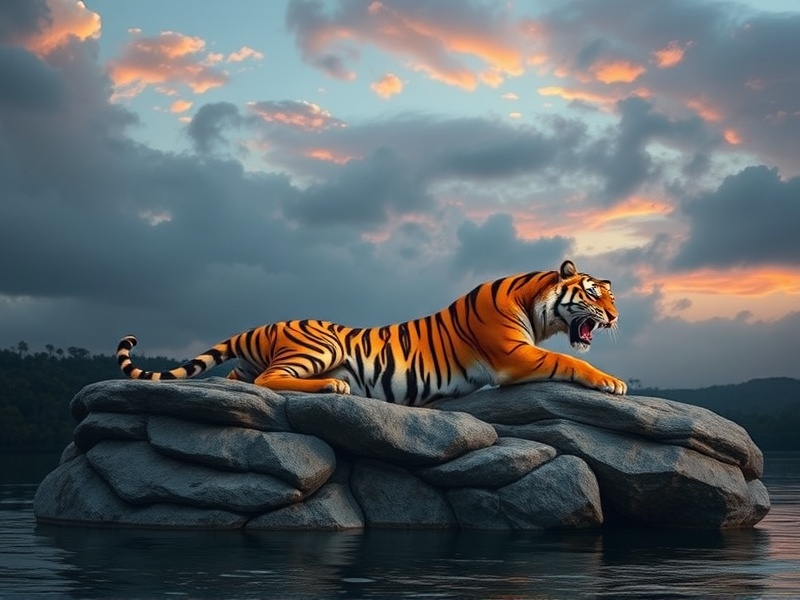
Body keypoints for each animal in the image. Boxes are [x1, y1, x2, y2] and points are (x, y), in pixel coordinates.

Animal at [116, 259, 627, 405]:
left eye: (613, 297)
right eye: (595, 295)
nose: (616, 318)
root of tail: (260, 325)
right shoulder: (514, 357)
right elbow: (569, 360)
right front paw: (613, 382)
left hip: (257, 362)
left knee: (238, 377)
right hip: (319, 346)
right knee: (269, 380)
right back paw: (336, 386)